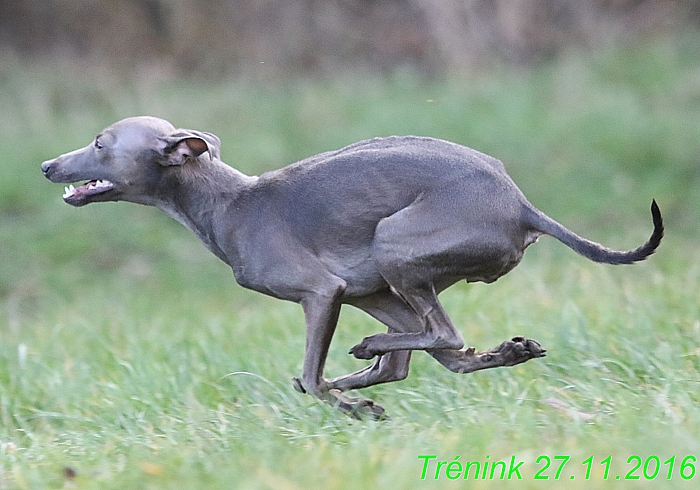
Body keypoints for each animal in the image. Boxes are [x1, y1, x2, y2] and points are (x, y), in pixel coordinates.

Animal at [41, 116, 664, 418]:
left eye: (99, 143)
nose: (47, 165)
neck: (229, 202)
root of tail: (520, 203)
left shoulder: (322, 292)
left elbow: (314, 376)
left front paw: (353, 406)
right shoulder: (356, 291)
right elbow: (328, 376)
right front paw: (354, 396)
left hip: (396, 245)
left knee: (441, 337)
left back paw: (367, 356)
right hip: (390, 284)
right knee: (441, 352)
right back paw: (502, 352)